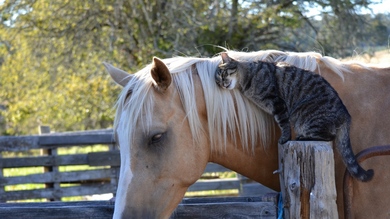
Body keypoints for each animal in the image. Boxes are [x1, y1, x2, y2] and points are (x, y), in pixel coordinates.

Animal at [215, 52, 374, 182]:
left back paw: (302, 137)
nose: (222, 83)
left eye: (223, 74)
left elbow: (283, 124)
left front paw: (284, 138)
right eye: (218, 81)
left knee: (328, 136)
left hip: (304, 115)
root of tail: (346, 114)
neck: (247, 79)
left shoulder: (278, 103)